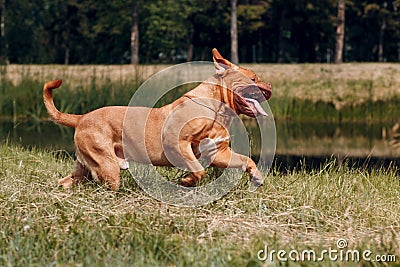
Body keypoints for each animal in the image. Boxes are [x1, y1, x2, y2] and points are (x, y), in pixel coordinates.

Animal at [44, 48, 272, 191]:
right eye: (253, 78)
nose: (270, 86)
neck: (217, 108)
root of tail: (81, 118)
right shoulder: (177, 143)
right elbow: (198, 170)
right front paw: (187, 181)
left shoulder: (219, 153)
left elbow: (246, 160)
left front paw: (256, 176)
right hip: (108, 165)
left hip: (86, 165)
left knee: (67, 181)